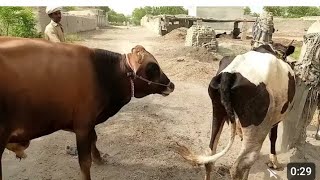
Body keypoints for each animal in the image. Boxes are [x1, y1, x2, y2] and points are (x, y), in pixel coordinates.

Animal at [176, 43, 296, 179]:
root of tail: (229, 73)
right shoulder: (275, 120)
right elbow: (273, 137)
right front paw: (274, 162)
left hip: (218, 110)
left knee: (210, 156)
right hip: (257, 125)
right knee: (241, 164)